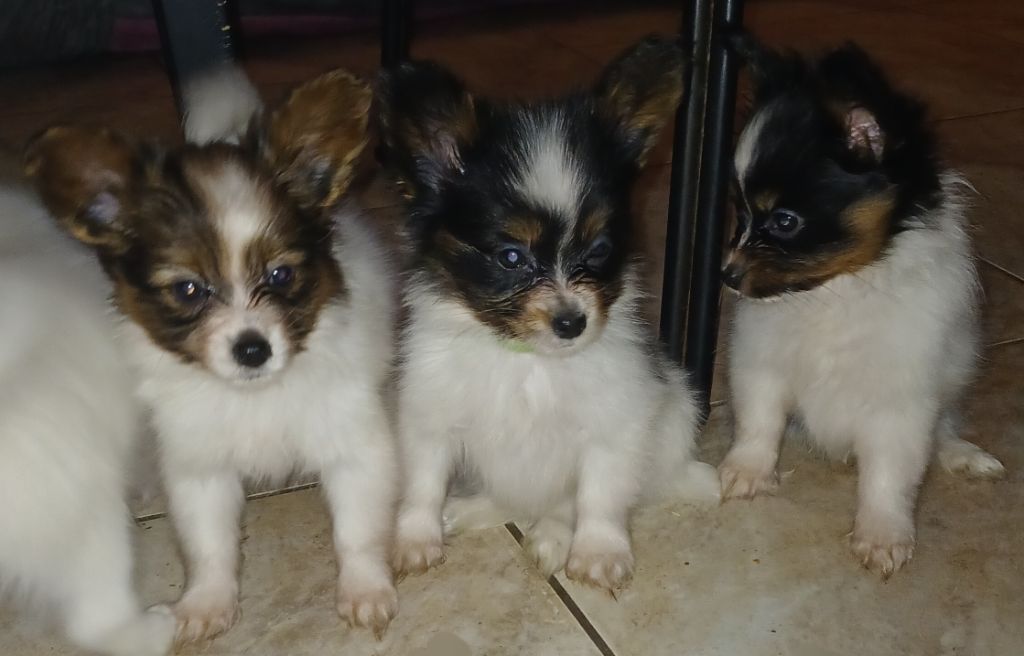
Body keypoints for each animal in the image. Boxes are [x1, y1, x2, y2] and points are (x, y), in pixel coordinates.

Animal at [25, 66, 401, 638]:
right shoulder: (199, 466)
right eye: (187, 290)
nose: (253, 349)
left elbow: (356, 530)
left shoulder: (353, 443)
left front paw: (365, 591)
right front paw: (204, 604)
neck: (255, 397)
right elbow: (208, 546)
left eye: (281, 275)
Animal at [376, 37, 720, 593]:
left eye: (599, 250)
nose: (571, 323)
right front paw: (415, 542)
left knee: (563, 503)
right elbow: (422, 483)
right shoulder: (430, 415)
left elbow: (600, 493)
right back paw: (470, 511)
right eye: (511, 257)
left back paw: (553, 536)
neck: (528, 360)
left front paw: (597, 553)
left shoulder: (615, 421)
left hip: (678, 410)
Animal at [720, 38, 1007, 577]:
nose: (726, 276)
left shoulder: (901, 399)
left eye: (785, 221)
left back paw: (963, 455)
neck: (840, 291)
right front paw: (746, 472)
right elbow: (759, 420)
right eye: (740, 213)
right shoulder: (762, 361)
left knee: (943, 428)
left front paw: (882, 535)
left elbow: (890, 473)